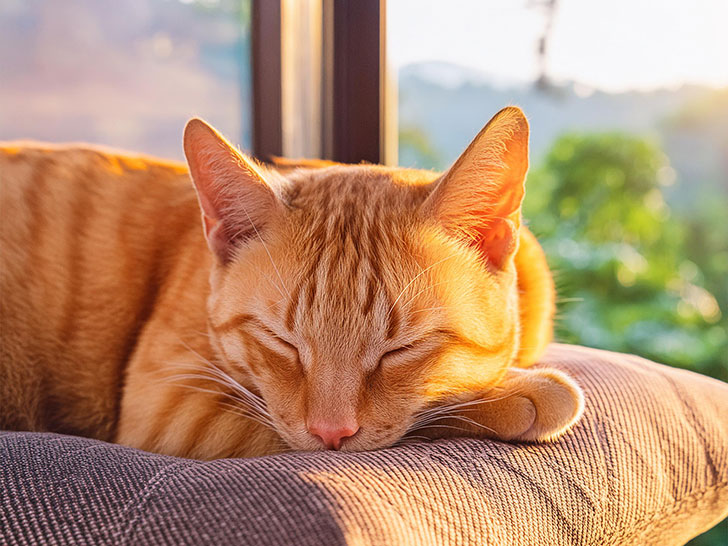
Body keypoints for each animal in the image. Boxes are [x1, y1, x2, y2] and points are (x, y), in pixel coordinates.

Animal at [0, 105, 580, 454]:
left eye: (401, 349)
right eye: (281, 341)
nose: (331, 433)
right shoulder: (170, 406)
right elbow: (433, 416)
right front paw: (519, 395)